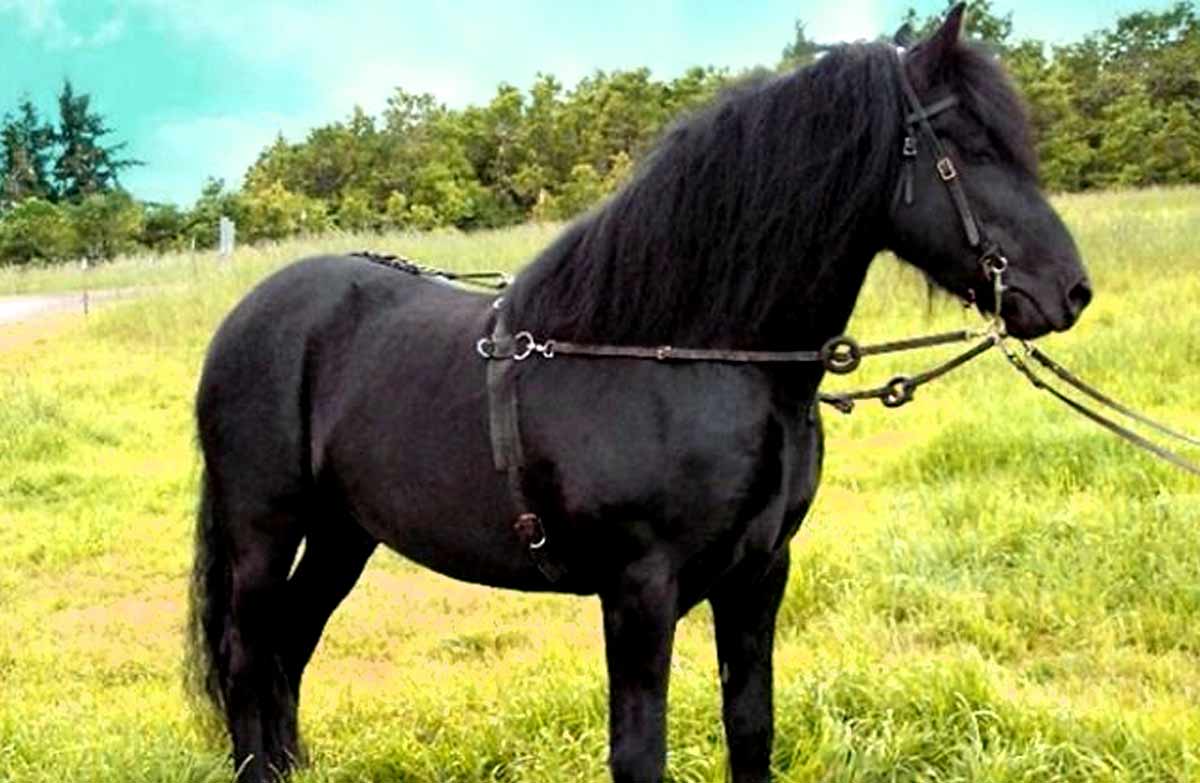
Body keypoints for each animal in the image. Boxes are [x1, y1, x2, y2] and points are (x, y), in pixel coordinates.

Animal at [188, 6, 1092, 781]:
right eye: (969, 144)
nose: (1069, 291)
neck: (690, 356)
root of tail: (249, 315)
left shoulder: (760, 574)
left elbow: (750, 728)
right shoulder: (639, 589)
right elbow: (639, 753)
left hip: (346, 531)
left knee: (290, 644)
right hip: (265, 526)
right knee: (247, 652)